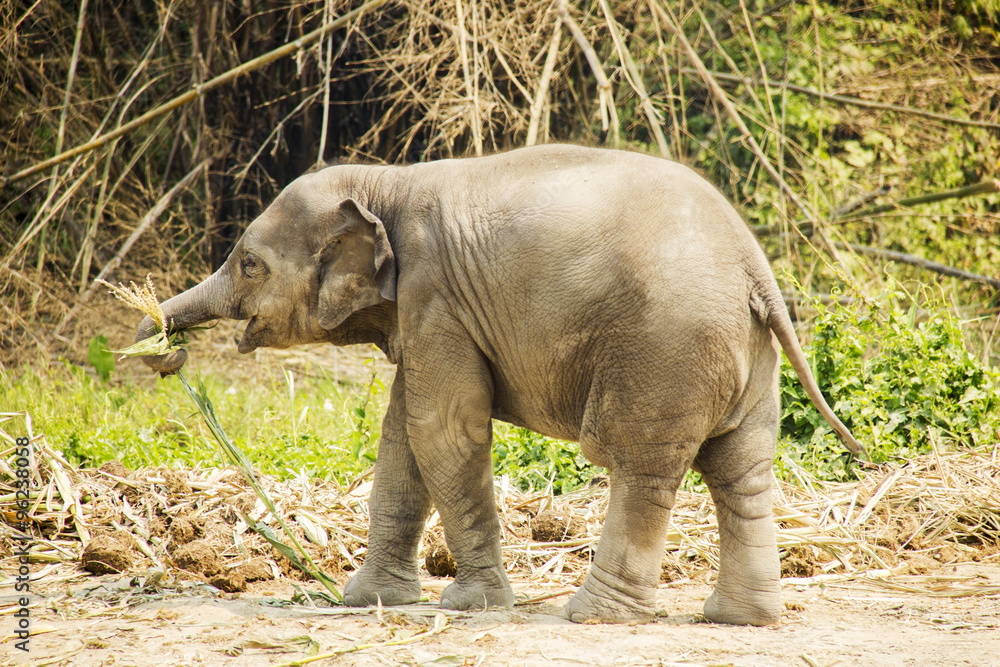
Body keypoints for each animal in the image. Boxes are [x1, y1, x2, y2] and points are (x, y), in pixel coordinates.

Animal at [137, 142, 864, 628]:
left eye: (249, 265)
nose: (162, 349)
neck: (385, 182)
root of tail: (752, 263)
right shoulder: (427, 313)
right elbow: (402, 439)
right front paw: (369, 600)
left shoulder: (437, 299)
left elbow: (443, 431)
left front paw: (469, 604)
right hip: (745, 353)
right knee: (742, 468)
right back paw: (739, 619)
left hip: (665, 348)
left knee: (641, 466)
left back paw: (593, 615)